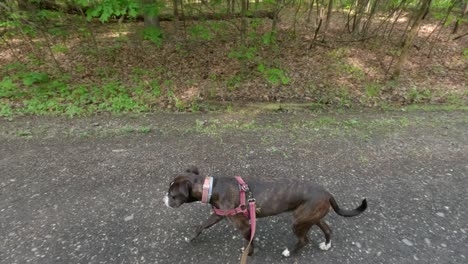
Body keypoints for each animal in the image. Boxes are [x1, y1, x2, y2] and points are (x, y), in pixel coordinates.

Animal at [163, 167, 368, 258]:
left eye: (172, 195)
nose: (163, 200)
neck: (212, 187)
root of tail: (328, 193)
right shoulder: (219, 215)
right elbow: (201, 226)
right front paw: (191, 238)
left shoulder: (244, 225)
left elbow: (249, 240)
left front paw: (249, 254)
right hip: (311, 217)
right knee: (327, 228)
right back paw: (326, 245)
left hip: (299, 221)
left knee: (304, 240)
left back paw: (289, 253)